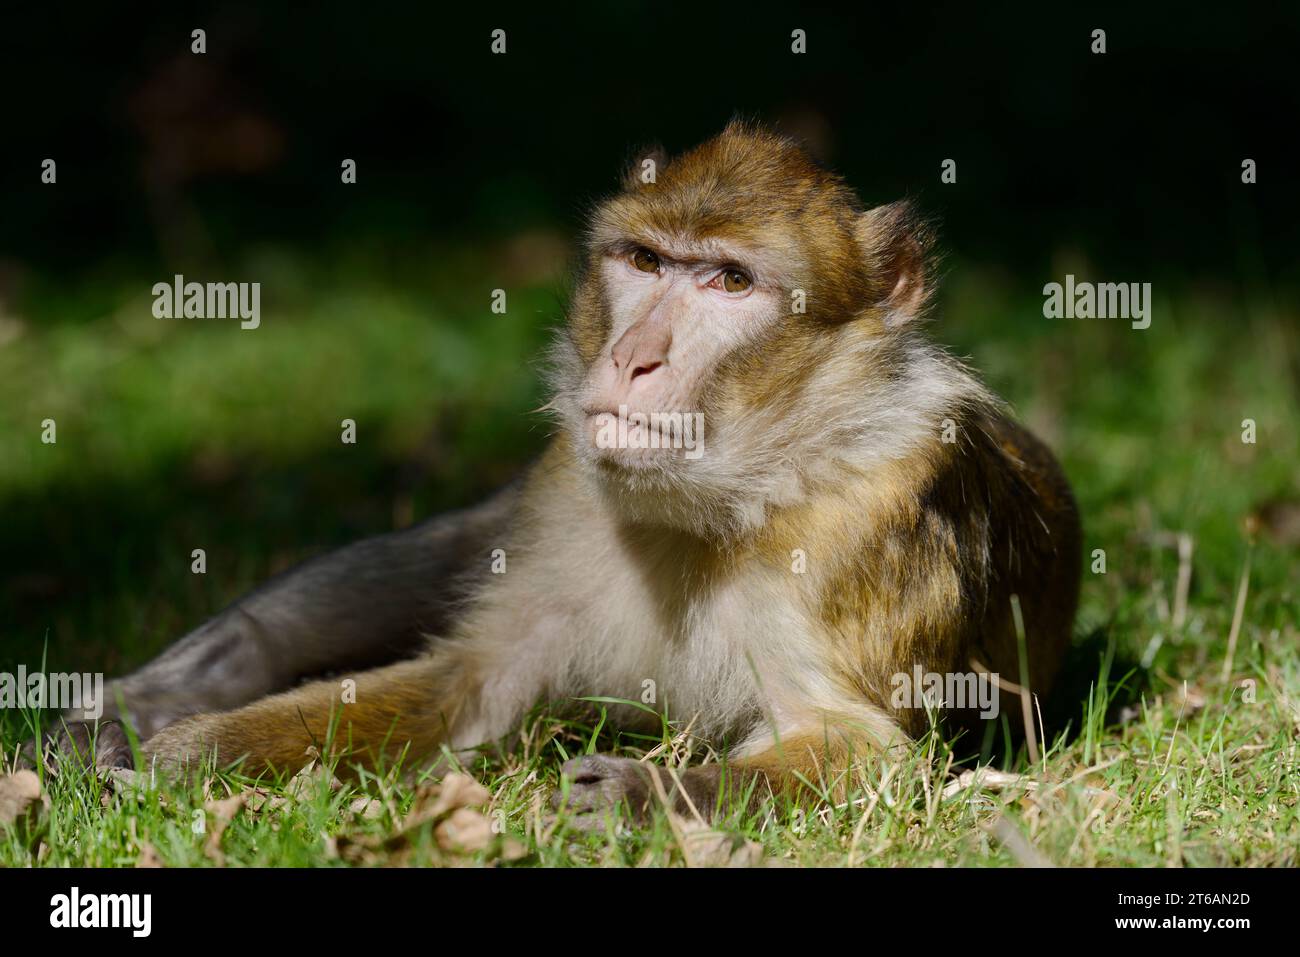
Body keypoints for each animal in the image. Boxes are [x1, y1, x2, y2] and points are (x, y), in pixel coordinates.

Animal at [32, 123, 1081, 825]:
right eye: (645, 260)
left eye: (730, 282)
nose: (634, 358)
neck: (727, 500)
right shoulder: (572, 490)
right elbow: (469, 681)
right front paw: (182, 747)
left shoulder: (860, 529)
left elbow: (864, 745)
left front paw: (654, 793)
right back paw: (167, 686)